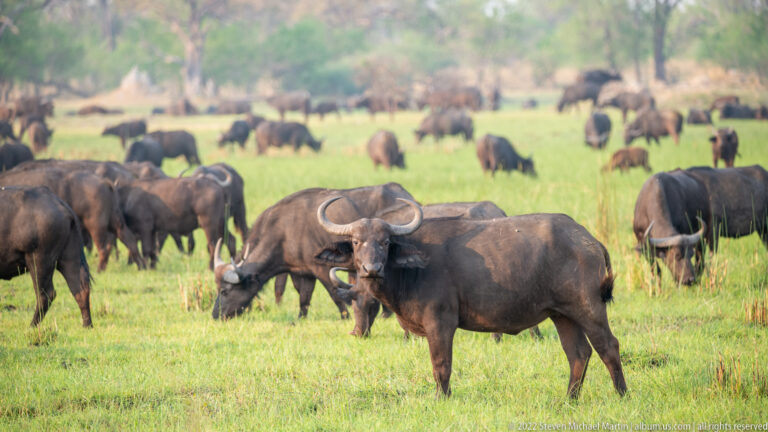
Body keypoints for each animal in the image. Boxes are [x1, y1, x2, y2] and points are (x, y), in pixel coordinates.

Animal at [0, 186, 93, 327]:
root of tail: (59, 202)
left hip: (39, 261)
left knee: (46, 294)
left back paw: (32, 325)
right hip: (69, 258)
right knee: (80, 288)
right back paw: (87, 325)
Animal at [319, 198, 626, 399]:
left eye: (385, 242)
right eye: (356, 242)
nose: (371, 269)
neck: (411, 269)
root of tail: (587, 239)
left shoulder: (440, 323)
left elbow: (441, 364)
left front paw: (441, 398)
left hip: (588, 308)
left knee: (608, 346)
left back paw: (622, 394)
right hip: (561, 314)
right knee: (578, 353)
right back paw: (569, 399)